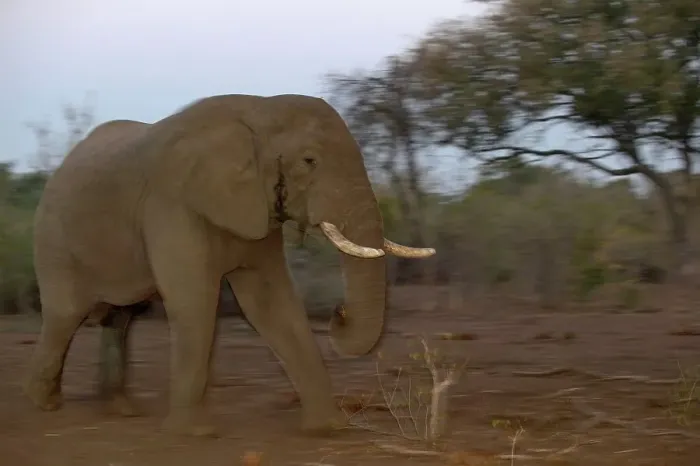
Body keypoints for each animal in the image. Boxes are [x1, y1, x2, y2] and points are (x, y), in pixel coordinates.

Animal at [23, 93, 435, 437]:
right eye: (309, 161)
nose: (339, 313)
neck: (260, 109)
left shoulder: (258, 209)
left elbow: (272, 303)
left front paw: (328, 428)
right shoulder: (172, 204)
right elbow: (195, 302)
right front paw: (193, 434)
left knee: (121, 317)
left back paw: (120, 410)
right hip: (54, 239)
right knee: (65, 315)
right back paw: (46, 405)